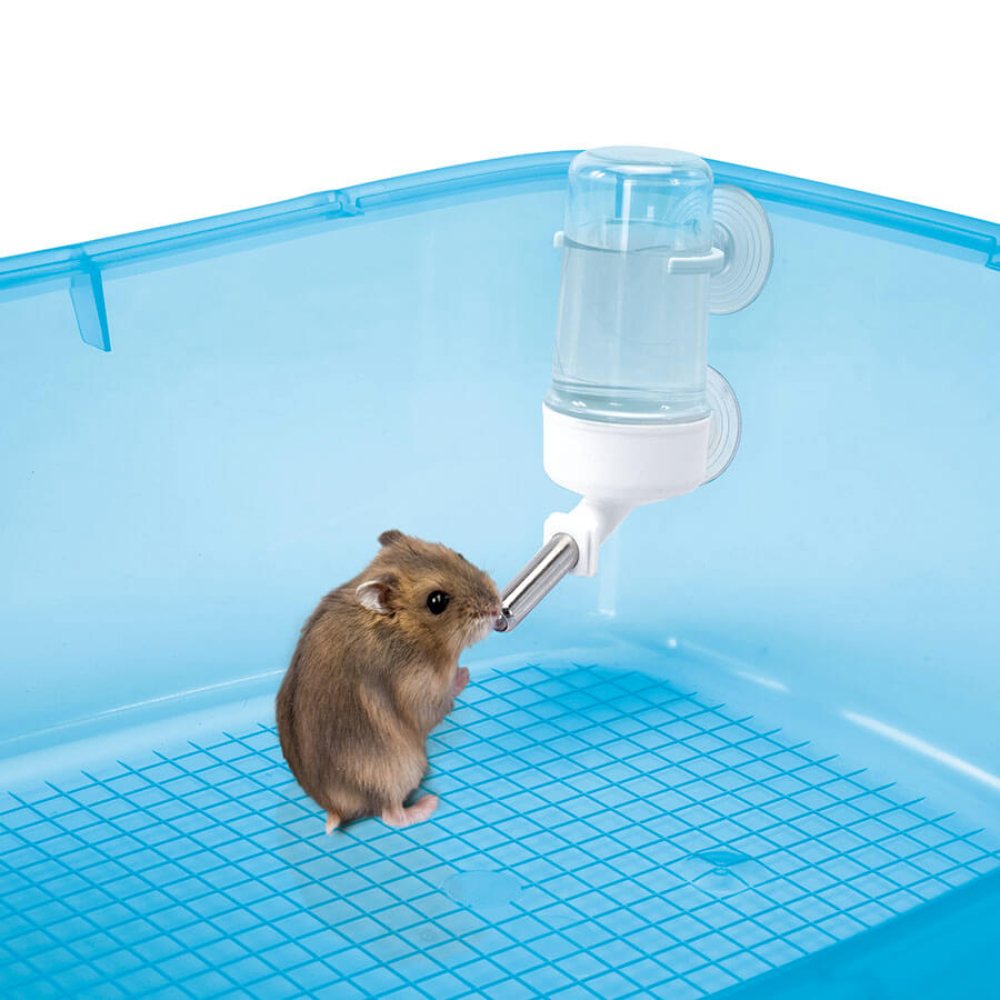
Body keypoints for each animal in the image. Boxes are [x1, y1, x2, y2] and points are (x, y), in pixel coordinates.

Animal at [276, 530, 501, 832]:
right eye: (436, 602)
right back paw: (429, 803)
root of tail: (334, 808)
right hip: (400, 769)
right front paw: (463, 672)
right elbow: (446, 696)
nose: (498, 607)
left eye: (459, 555)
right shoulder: (421, 690)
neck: (407, 630)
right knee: (391, 815)